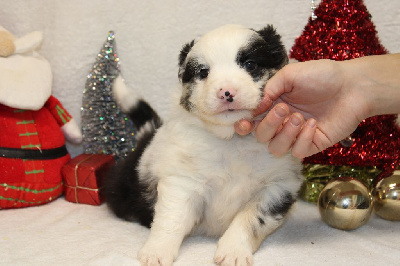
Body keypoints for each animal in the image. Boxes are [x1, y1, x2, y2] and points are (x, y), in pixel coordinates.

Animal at [104, 23, 302, 264]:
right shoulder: (183, 181)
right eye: (203, 72)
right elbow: (171, 218)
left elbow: (251, 218)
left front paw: (233, 251)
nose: (226, 92)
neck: (232, 140)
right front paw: (157, 251)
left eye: (250, 64)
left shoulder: (277, 186)